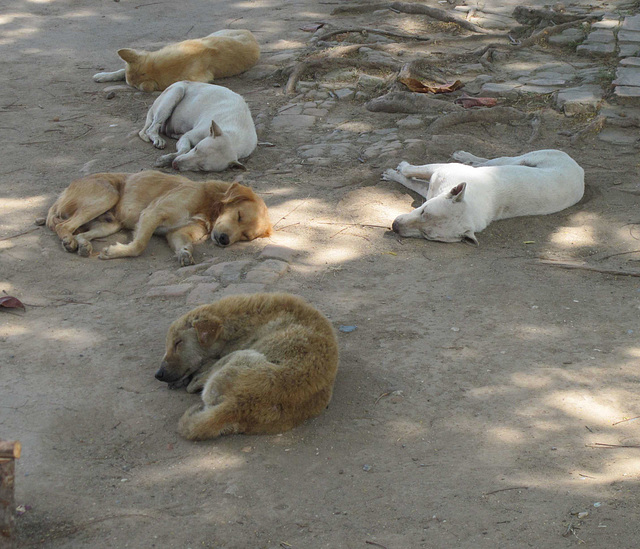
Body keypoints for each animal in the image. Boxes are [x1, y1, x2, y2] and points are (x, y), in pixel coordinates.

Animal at [47, 171, 272, 266]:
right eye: (239, 216)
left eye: (245, 236)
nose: (224, 240)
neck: (208, 206)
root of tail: (63, 192)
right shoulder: (153, 213)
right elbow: (139, 245)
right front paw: (115, 253)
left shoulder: (176, 233)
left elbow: (187, 245)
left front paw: (184, 254)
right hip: (107, 195)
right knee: (63, 226)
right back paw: (68, 241)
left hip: (110, 224)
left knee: (82, 233)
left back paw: (83, 245)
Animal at [380, 149, 584, 245]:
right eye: (423, 211)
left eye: (427, 235)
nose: (395, 226)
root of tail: (580, 170)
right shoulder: (440, 176)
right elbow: (412, 173)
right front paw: (398, 170)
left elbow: (411, 178)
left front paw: (394, 173)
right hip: (524, 159)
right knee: (495, 160)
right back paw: (466, 156)